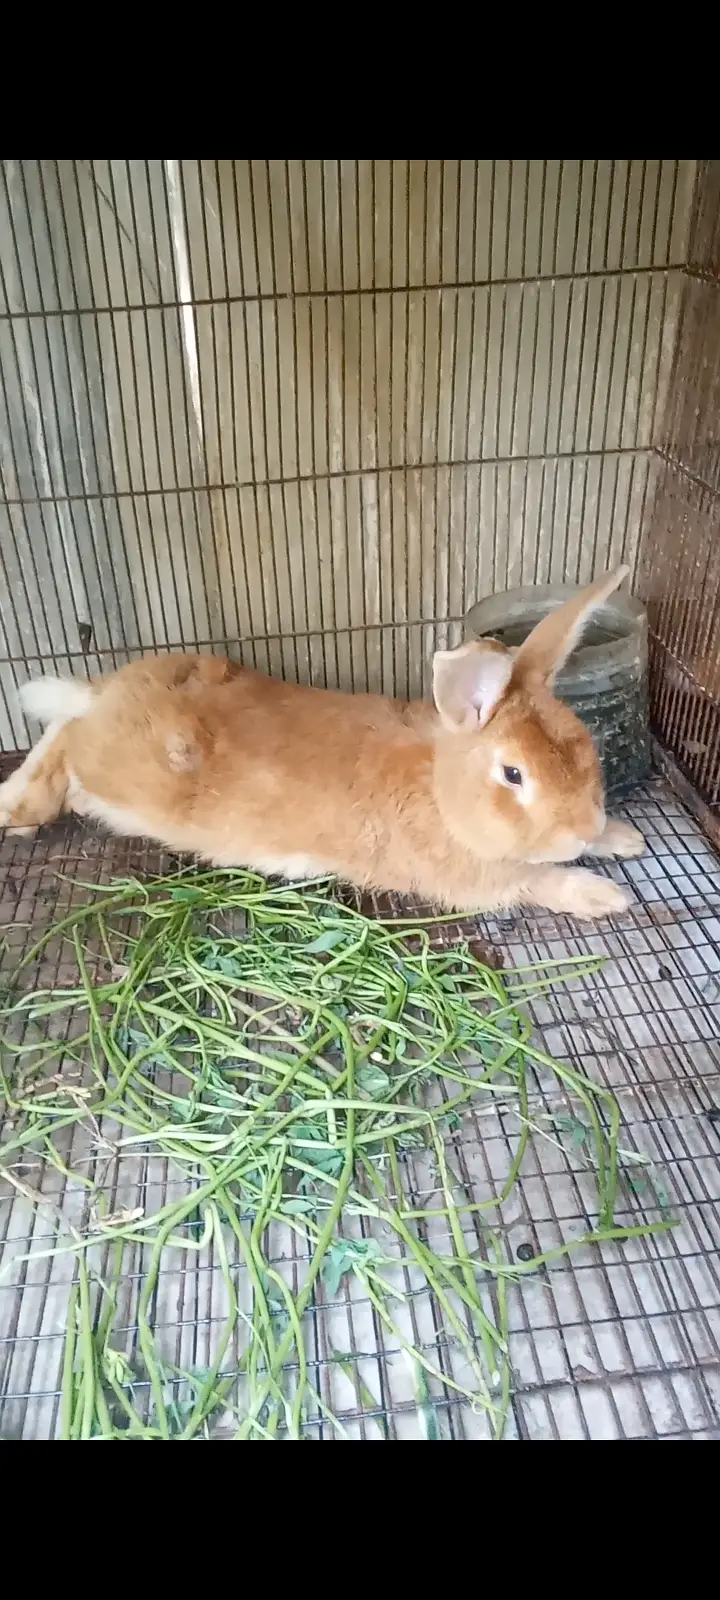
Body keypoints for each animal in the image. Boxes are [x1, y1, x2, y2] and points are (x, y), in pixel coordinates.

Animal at [0, 565, 644, 920]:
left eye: (584, 744)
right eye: (513, 775)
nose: (583, 827)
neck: (441, 790)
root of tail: (111, 690)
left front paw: (623, 838)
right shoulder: (474, 879)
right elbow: (537, 881)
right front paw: (603, 895)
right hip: (122, 775)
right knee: (65, 739)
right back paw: (19, 808)